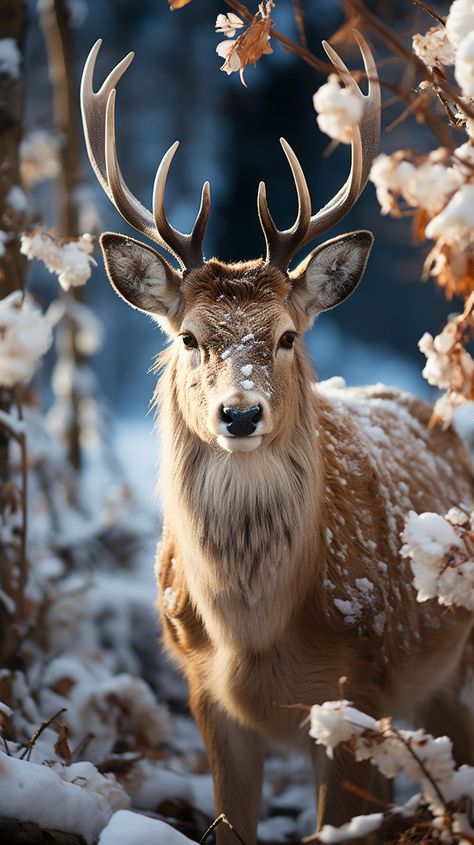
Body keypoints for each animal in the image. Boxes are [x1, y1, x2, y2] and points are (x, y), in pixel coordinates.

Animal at [81, 38, 474, 844]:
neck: (255, 635)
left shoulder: (361, 689)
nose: (239, 414)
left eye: (288, 334)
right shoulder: (203, 693)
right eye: (190, 336)